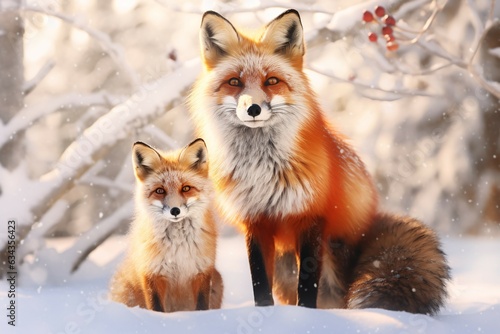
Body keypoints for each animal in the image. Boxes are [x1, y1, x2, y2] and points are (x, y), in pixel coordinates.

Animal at [109, 140, 223, 312]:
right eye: (160, 190)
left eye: (186, 188)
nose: (175, 210)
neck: (178, 245)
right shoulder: (152, 273)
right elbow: (156, 307)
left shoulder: (202, 271)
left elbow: (202, 306)